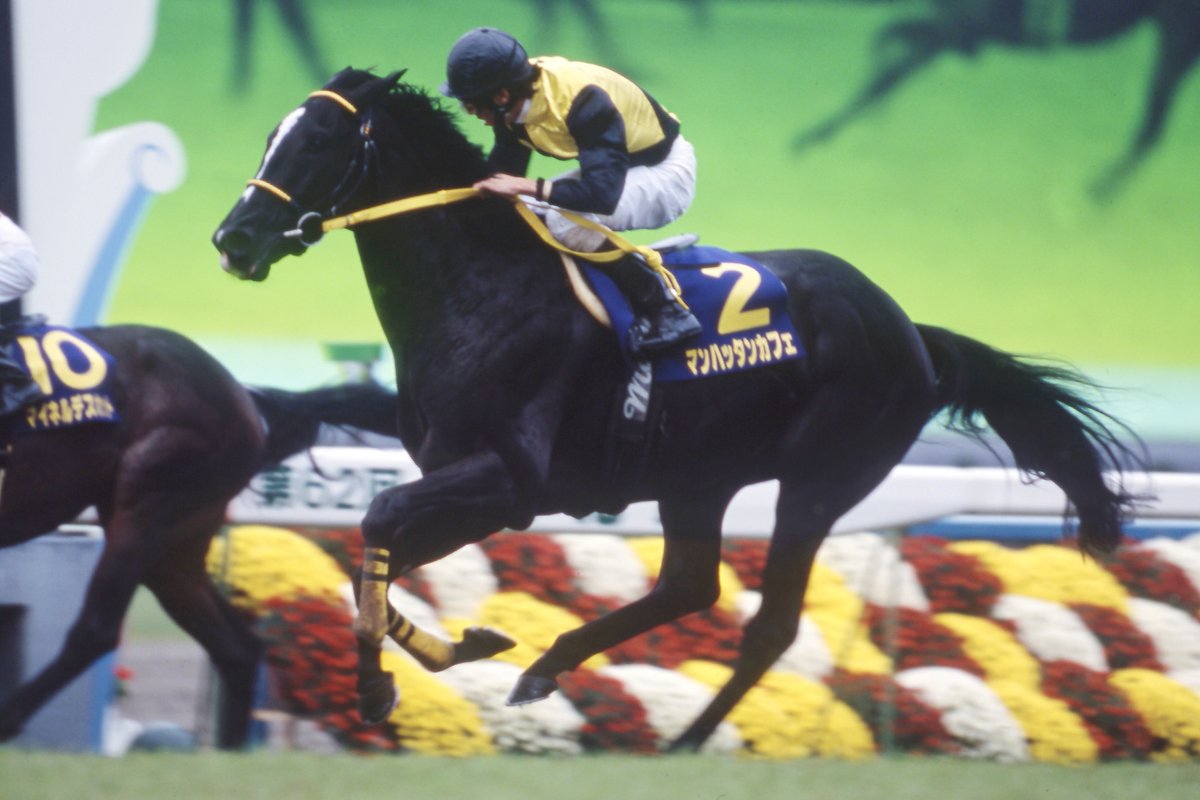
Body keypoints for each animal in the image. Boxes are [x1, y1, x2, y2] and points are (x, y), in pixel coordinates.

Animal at [0, 322, 411, 749]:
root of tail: (242, 397)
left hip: (150, 502)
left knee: (97, 630)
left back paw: (8, 720)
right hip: (174, 543)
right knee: (236, 646)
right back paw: (228, 751)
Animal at [212, 69, 1139, 752]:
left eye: (318, 139)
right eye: (269, 136)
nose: (235, 239)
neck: (480, 291)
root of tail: (911, 330)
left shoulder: (511, 481)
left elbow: (376, 523)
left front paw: (379, 684)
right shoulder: (468, 482)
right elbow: (380, 547)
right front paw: (464, 646)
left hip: (819, 481)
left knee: (769, 625)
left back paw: (682, 742)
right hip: (698, 477)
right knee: (691, 584)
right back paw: (549, 667)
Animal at [791, 0, 1200, 200]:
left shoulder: (957, 29)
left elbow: (887, 69)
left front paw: (812, 137)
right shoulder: (955, 32)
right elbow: (886, 53)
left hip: (1176, 31)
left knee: (1151, 125)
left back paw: (1089, 195)